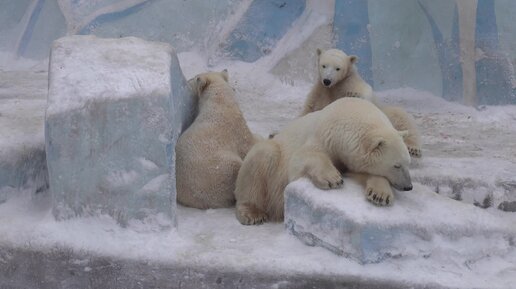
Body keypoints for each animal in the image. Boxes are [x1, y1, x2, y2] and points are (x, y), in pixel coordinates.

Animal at [177, 70, 258, 209]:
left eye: (195, 77)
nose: (188, 80)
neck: (220, 101)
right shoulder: (237, 129)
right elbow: (249, 143)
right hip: (221, 170)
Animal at [236, 98, 414, 224]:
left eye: (408, 163)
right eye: (396, 165)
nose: (408, 186)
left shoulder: (350, 156)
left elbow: (360, 171)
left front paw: (380, 195)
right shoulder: (324, 134)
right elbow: (304, 156)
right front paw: (332, 179)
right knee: (261, 160)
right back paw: (252, 213)